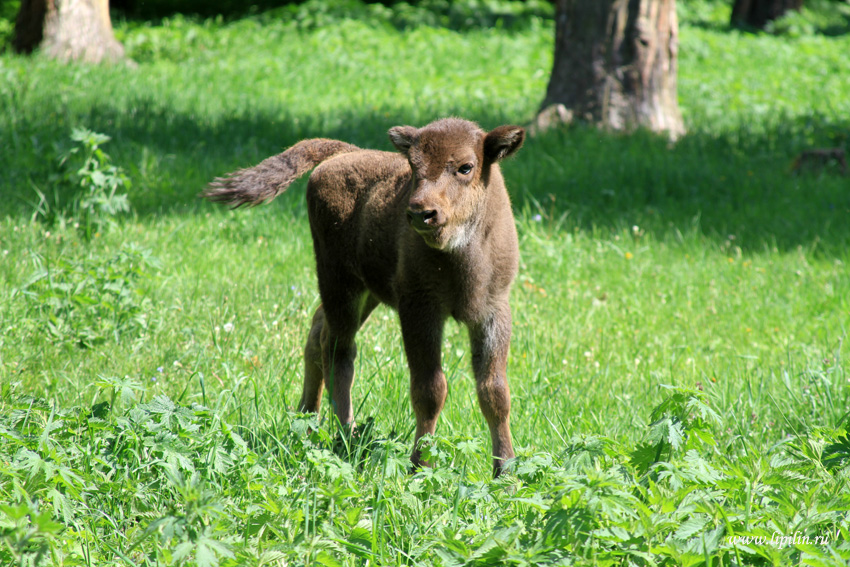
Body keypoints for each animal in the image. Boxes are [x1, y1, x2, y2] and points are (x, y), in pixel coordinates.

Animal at [205, 117, 524, 478]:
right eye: (413, 165)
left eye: (466, 167)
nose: (421, 213)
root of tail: (343, 153)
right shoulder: (419, 311)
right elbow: (430, 390)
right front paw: (420, 466)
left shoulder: (493, 311)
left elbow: (494, 392)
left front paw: (506, 473)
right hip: (340, 283)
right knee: (338, 351)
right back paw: (347, 437)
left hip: (364, 293)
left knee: (318, 333)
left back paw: (308, 419)